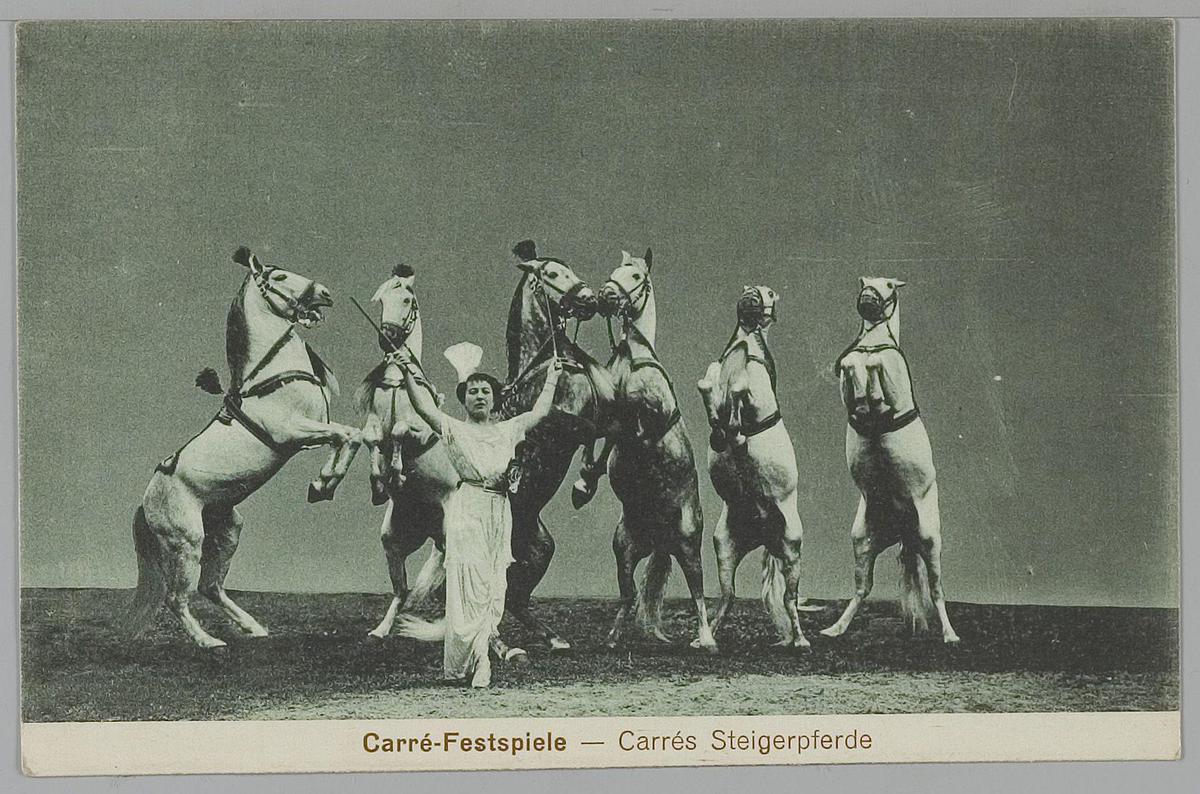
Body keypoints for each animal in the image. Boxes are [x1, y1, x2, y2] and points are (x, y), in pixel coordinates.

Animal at [126, 247, 362, 649]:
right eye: (279, 277)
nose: (324, 294)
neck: (271, 376)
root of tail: (146, 504)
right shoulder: (293, 432)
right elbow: (349, 436)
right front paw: (322, 484)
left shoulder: (315, 430)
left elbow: (355, 435)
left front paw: (325, 484)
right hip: (186, 542)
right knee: (177, 598)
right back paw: (208, 642)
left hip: (226, 532)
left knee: (210, 587)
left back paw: (254, 628)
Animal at [495, 242, 614, 652]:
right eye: (551, 274)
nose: (589, 298)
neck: (548, 362)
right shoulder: (558, 425)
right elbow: (590, 430)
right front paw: (583, 482)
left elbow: (609, 432)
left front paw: (587, 481)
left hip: (540, 549)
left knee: (514, 598)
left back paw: (552, 638)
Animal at [589, 249, 717, 653]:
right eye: (615, 271)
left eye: (635, 275)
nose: (605, 296)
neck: (633, 354)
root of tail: (660, 538)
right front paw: (584, 480)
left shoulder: (653, 411)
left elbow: (631, 411)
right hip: (624, 546)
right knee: (629, 594)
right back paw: (613, 638)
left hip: (688, 542)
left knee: (697, 589)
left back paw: (706, 639)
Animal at [696, 285, 812, 649]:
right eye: (747, 289)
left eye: (768, 293)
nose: (749, 297)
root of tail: (763, 535)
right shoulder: (714, 373)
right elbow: (709, 382)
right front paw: (719, 426)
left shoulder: (757, 392)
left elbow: (740, 388)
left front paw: (733, 429)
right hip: (725, 547)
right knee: (728, 596)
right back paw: (705, 639)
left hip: (791, 547)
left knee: (789, 598)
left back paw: (800, 641)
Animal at [819, 277, 960, 644]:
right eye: (864, 282)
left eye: (888, 286)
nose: (868, 296)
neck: (872, 345)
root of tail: (902, 528)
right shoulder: (845, 378)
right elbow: (851, 369)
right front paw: (862, 398)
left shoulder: (894, 388)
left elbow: (877, 372)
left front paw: (873, 396)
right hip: (863, 541)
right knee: (862, 589)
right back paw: (835, 628)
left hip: (929, 539)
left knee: (937, 591)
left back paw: (950, 634)